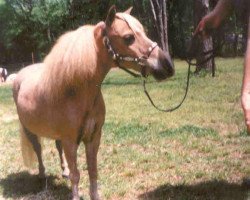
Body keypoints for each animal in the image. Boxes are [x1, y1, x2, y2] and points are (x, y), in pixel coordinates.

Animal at [12, 5, 174, 200]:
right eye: (128, 37)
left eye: (143, 32)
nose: (168, 65)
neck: (78, 92)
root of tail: (19, 75)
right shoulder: (70, 141)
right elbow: (77, 175)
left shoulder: (93, 138)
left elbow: (93, 171)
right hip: (29, 130)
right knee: (38, 150)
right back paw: (42, 174)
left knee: (58, 148)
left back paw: (64, 172)